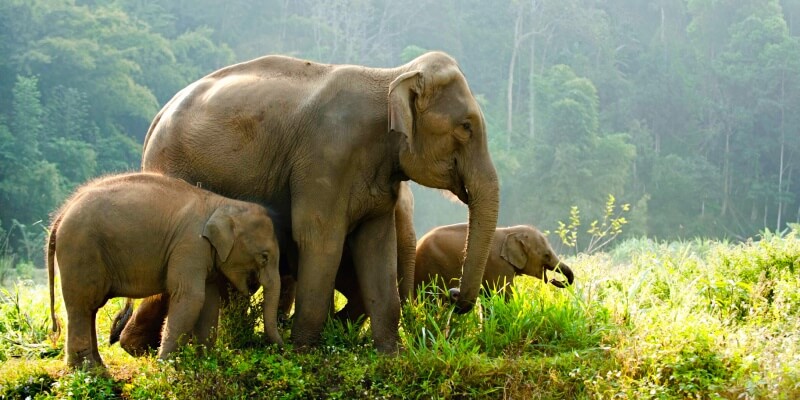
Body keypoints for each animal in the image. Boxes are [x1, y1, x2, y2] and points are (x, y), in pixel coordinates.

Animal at [46, 173, 282, 368]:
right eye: (264, 257)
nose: (282, 350)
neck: (224, 203)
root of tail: (60, 216)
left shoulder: (204, 254)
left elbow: (209, 302)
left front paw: (205, 362)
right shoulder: (190, 245)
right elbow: (191, 297)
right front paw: (167, 367)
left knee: (90, 308)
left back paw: (95, 367)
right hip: (80, 249)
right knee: (83, 305)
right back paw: (89, 371)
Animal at [119, 51, 498, 353]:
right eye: (466, 127)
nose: (454, 294)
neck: (391, 76)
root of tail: (157, 118)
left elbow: (376, 246)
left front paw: (391, 356)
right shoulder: (325, 158)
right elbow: (320, 239)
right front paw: (306, 353)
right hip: (173, 167)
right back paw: (137, 347)